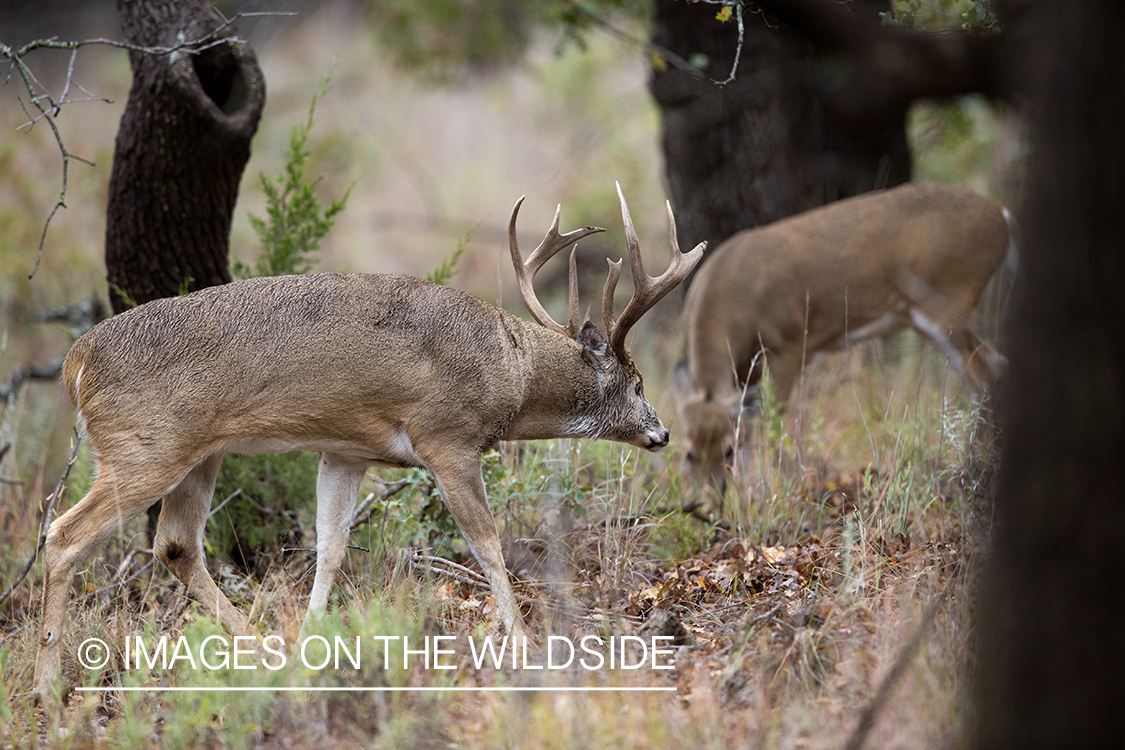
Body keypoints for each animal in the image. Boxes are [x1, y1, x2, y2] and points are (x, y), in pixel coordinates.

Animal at [32, 184, 702, 701]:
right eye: (638, 382)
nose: (663, 433)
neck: (507, 369)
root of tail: (75, 362)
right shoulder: (447, 438)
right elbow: (487, 543)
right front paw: (523, 641)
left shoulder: (345, 451)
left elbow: (330, 547)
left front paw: (311, 644)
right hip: (145, 446)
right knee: (63, 534)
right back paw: (45, 685)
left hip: (201, 453)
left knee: (174, 544)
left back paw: (265, 650)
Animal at [670, 182, 1017, 508]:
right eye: (688, 453)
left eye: (727, 450)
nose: (701, 503)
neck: (733, 300)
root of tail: (1002, 215)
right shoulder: (746, 366)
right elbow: (749, 422)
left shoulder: (790, 343)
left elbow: (770, 423)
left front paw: (765, 495)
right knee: (995, 368)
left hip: (948, 301)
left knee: (987, 379)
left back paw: (972, 473)